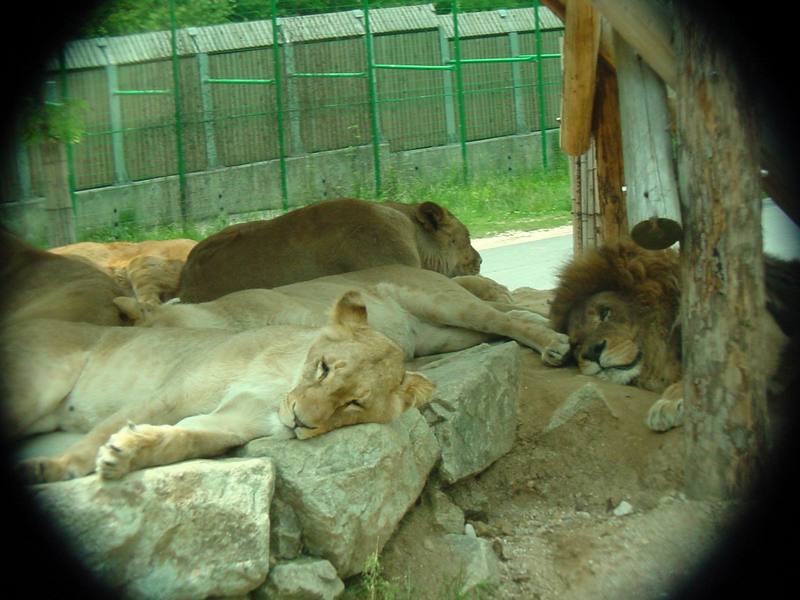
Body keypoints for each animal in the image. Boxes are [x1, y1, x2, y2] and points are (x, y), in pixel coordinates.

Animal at [3, 292, 434, 486]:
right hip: (33, 391)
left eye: (354, 403)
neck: (280, 387)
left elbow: (180, 440)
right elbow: (97, 434)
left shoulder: (228, 424)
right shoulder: (170, 393)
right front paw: (53, 466)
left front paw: (126, 452)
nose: (299, 422)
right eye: (324, 368)